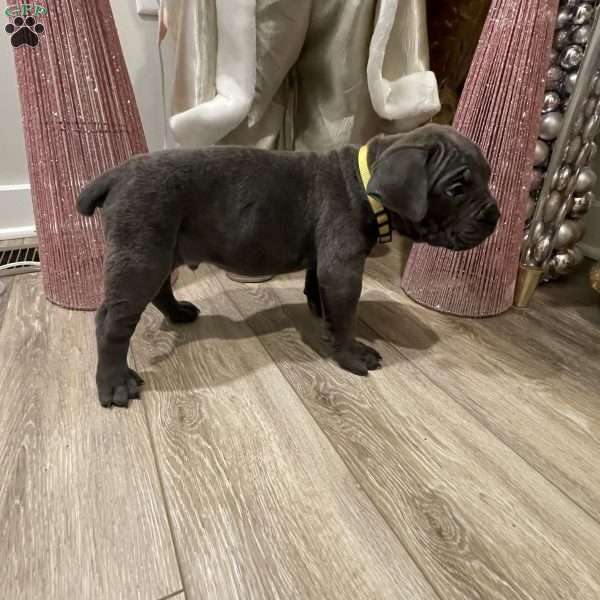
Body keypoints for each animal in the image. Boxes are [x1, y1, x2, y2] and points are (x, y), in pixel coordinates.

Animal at [79, 124, 502, 410]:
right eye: (456, 189)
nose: (494, 216)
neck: (365, 185)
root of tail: (116, 173)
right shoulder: (343, 268)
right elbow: (346, 316)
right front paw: (352, 355)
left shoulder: (325, 264)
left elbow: (319, 289)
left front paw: (320, 314)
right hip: (142, 254)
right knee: (111, 323)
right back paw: (115, 384)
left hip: (161, 250)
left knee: (161, 289)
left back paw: (179, 313)